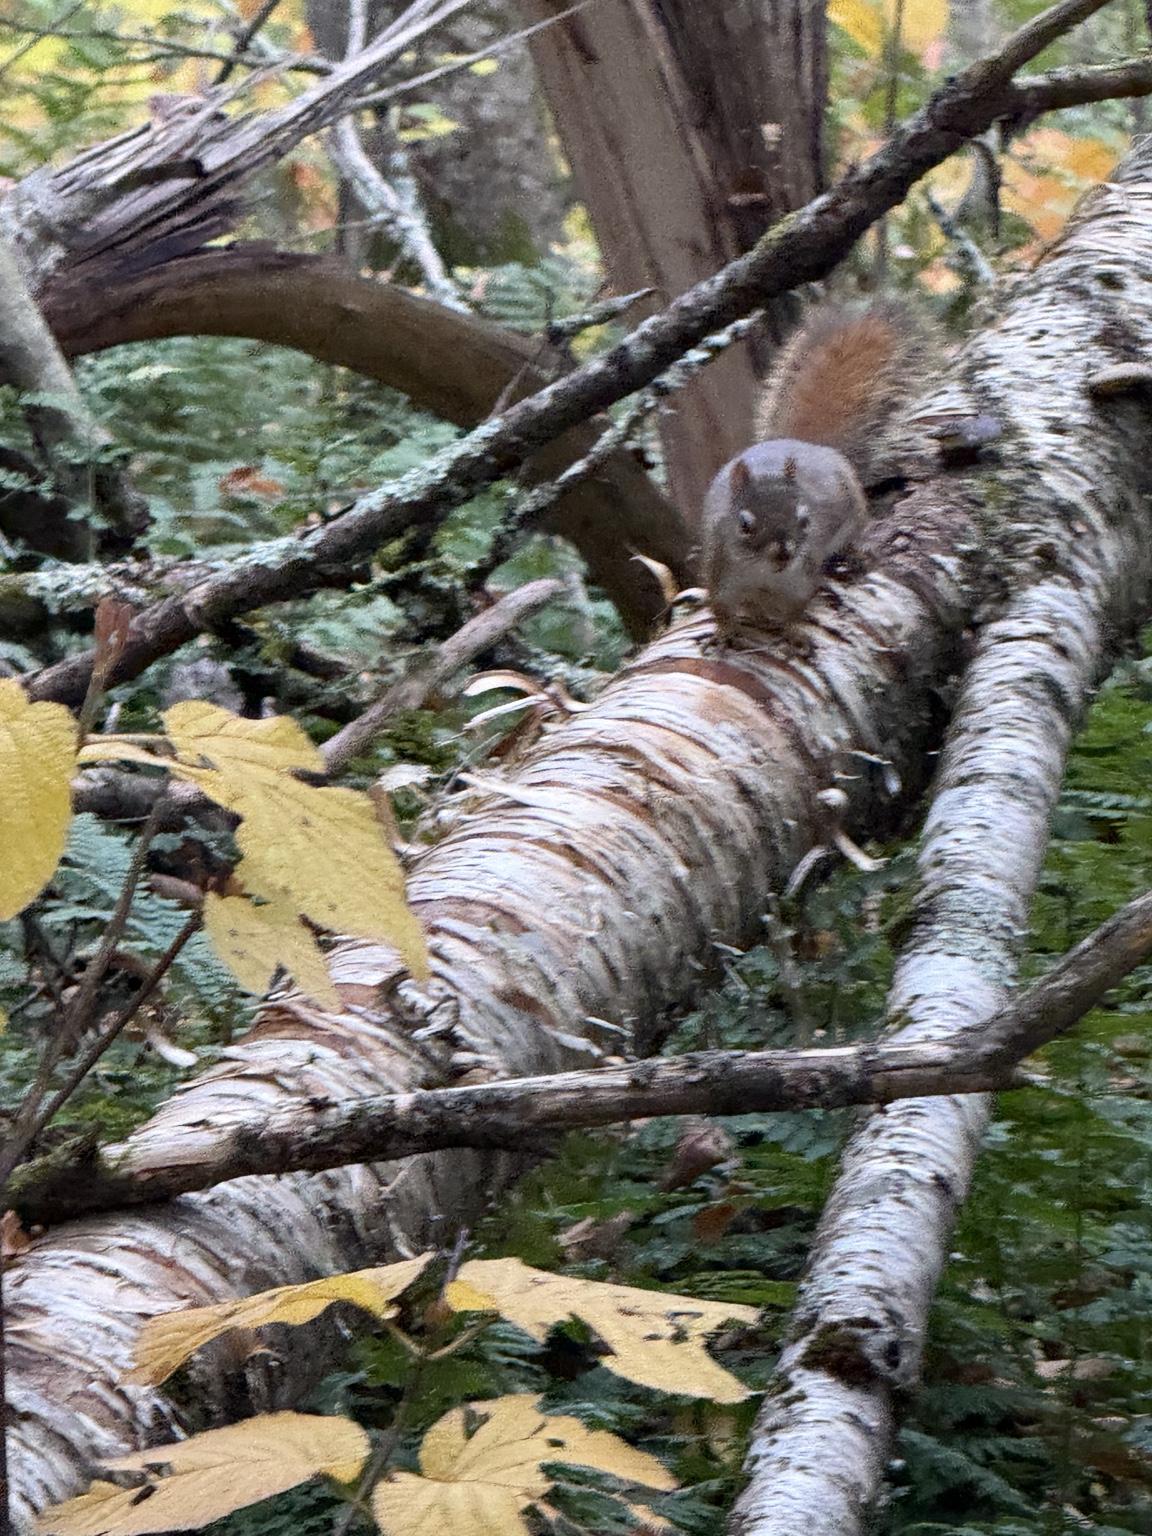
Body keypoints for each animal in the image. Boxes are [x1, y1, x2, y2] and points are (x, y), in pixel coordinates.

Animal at [701, 301, 927, 635]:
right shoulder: (721, 573)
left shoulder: (802, 579)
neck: (764, 574)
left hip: (854, 511)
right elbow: (719, 607)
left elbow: (798, 606)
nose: (784, 553)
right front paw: (726, 633)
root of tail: (806, 446)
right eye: (744, 525)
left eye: (804, 518)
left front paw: (793, 632)